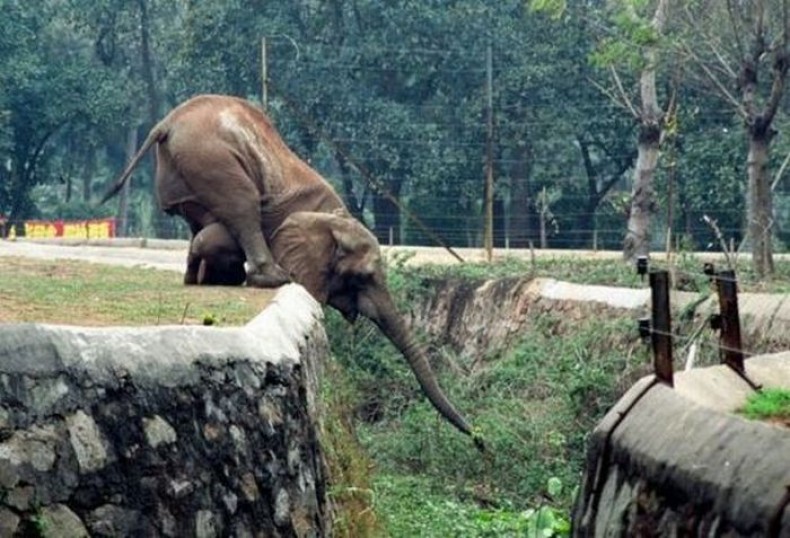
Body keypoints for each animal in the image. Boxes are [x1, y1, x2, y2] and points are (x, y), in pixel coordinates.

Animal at [101, 94, 346, 288]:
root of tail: (165, 123)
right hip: (210, 157)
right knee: (244, 204)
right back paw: (273, 278)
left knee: (198, 220)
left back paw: (199, 279)